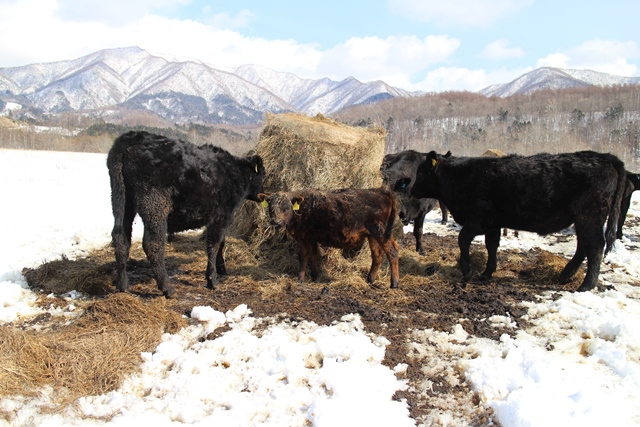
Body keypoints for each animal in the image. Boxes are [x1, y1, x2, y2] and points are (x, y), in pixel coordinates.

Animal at [107, 130, 264, 298]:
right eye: (263, 174)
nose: (264, 195)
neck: (236, 174)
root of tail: (131, 137)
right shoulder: (222, 216)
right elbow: (214, 244)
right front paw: (212, 279)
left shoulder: (218, 219)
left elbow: (221, 243)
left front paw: (221, 268)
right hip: (154, 206)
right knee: (152, 244)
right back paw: (167, 288)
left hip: (122, 202)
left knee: (121, 239)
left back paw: (123, 286)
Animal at [256, 189, 400, 290]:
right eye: (270, 208)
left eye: (286, 208)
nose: (276, 222)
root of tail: (381, 192)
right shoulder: (312, 238)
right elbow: (313, 255)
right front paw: (315, 276)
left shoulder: (304, 238)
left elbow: (303, 257)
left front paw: (300, 278)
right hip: (373, 235)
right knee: (378, 255)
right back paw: (370, 279)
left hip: (380, 232)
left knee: (392, 253)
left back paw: (394, 283)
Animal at [400, 150, 624, 294]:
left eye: (421, 172)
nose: (412, 189)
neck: (461, 177)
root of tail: (606, 157)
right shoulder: (493, 224)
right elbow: (492, 245)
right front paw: (487, 272)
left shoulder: (478, 220)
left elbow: (463, 240)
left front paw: (468, 271)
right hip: (582, 219)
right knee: (583, 247)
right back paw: (566, 275)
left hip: (589, 216)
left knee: (594, 247)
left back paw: (586, 285)